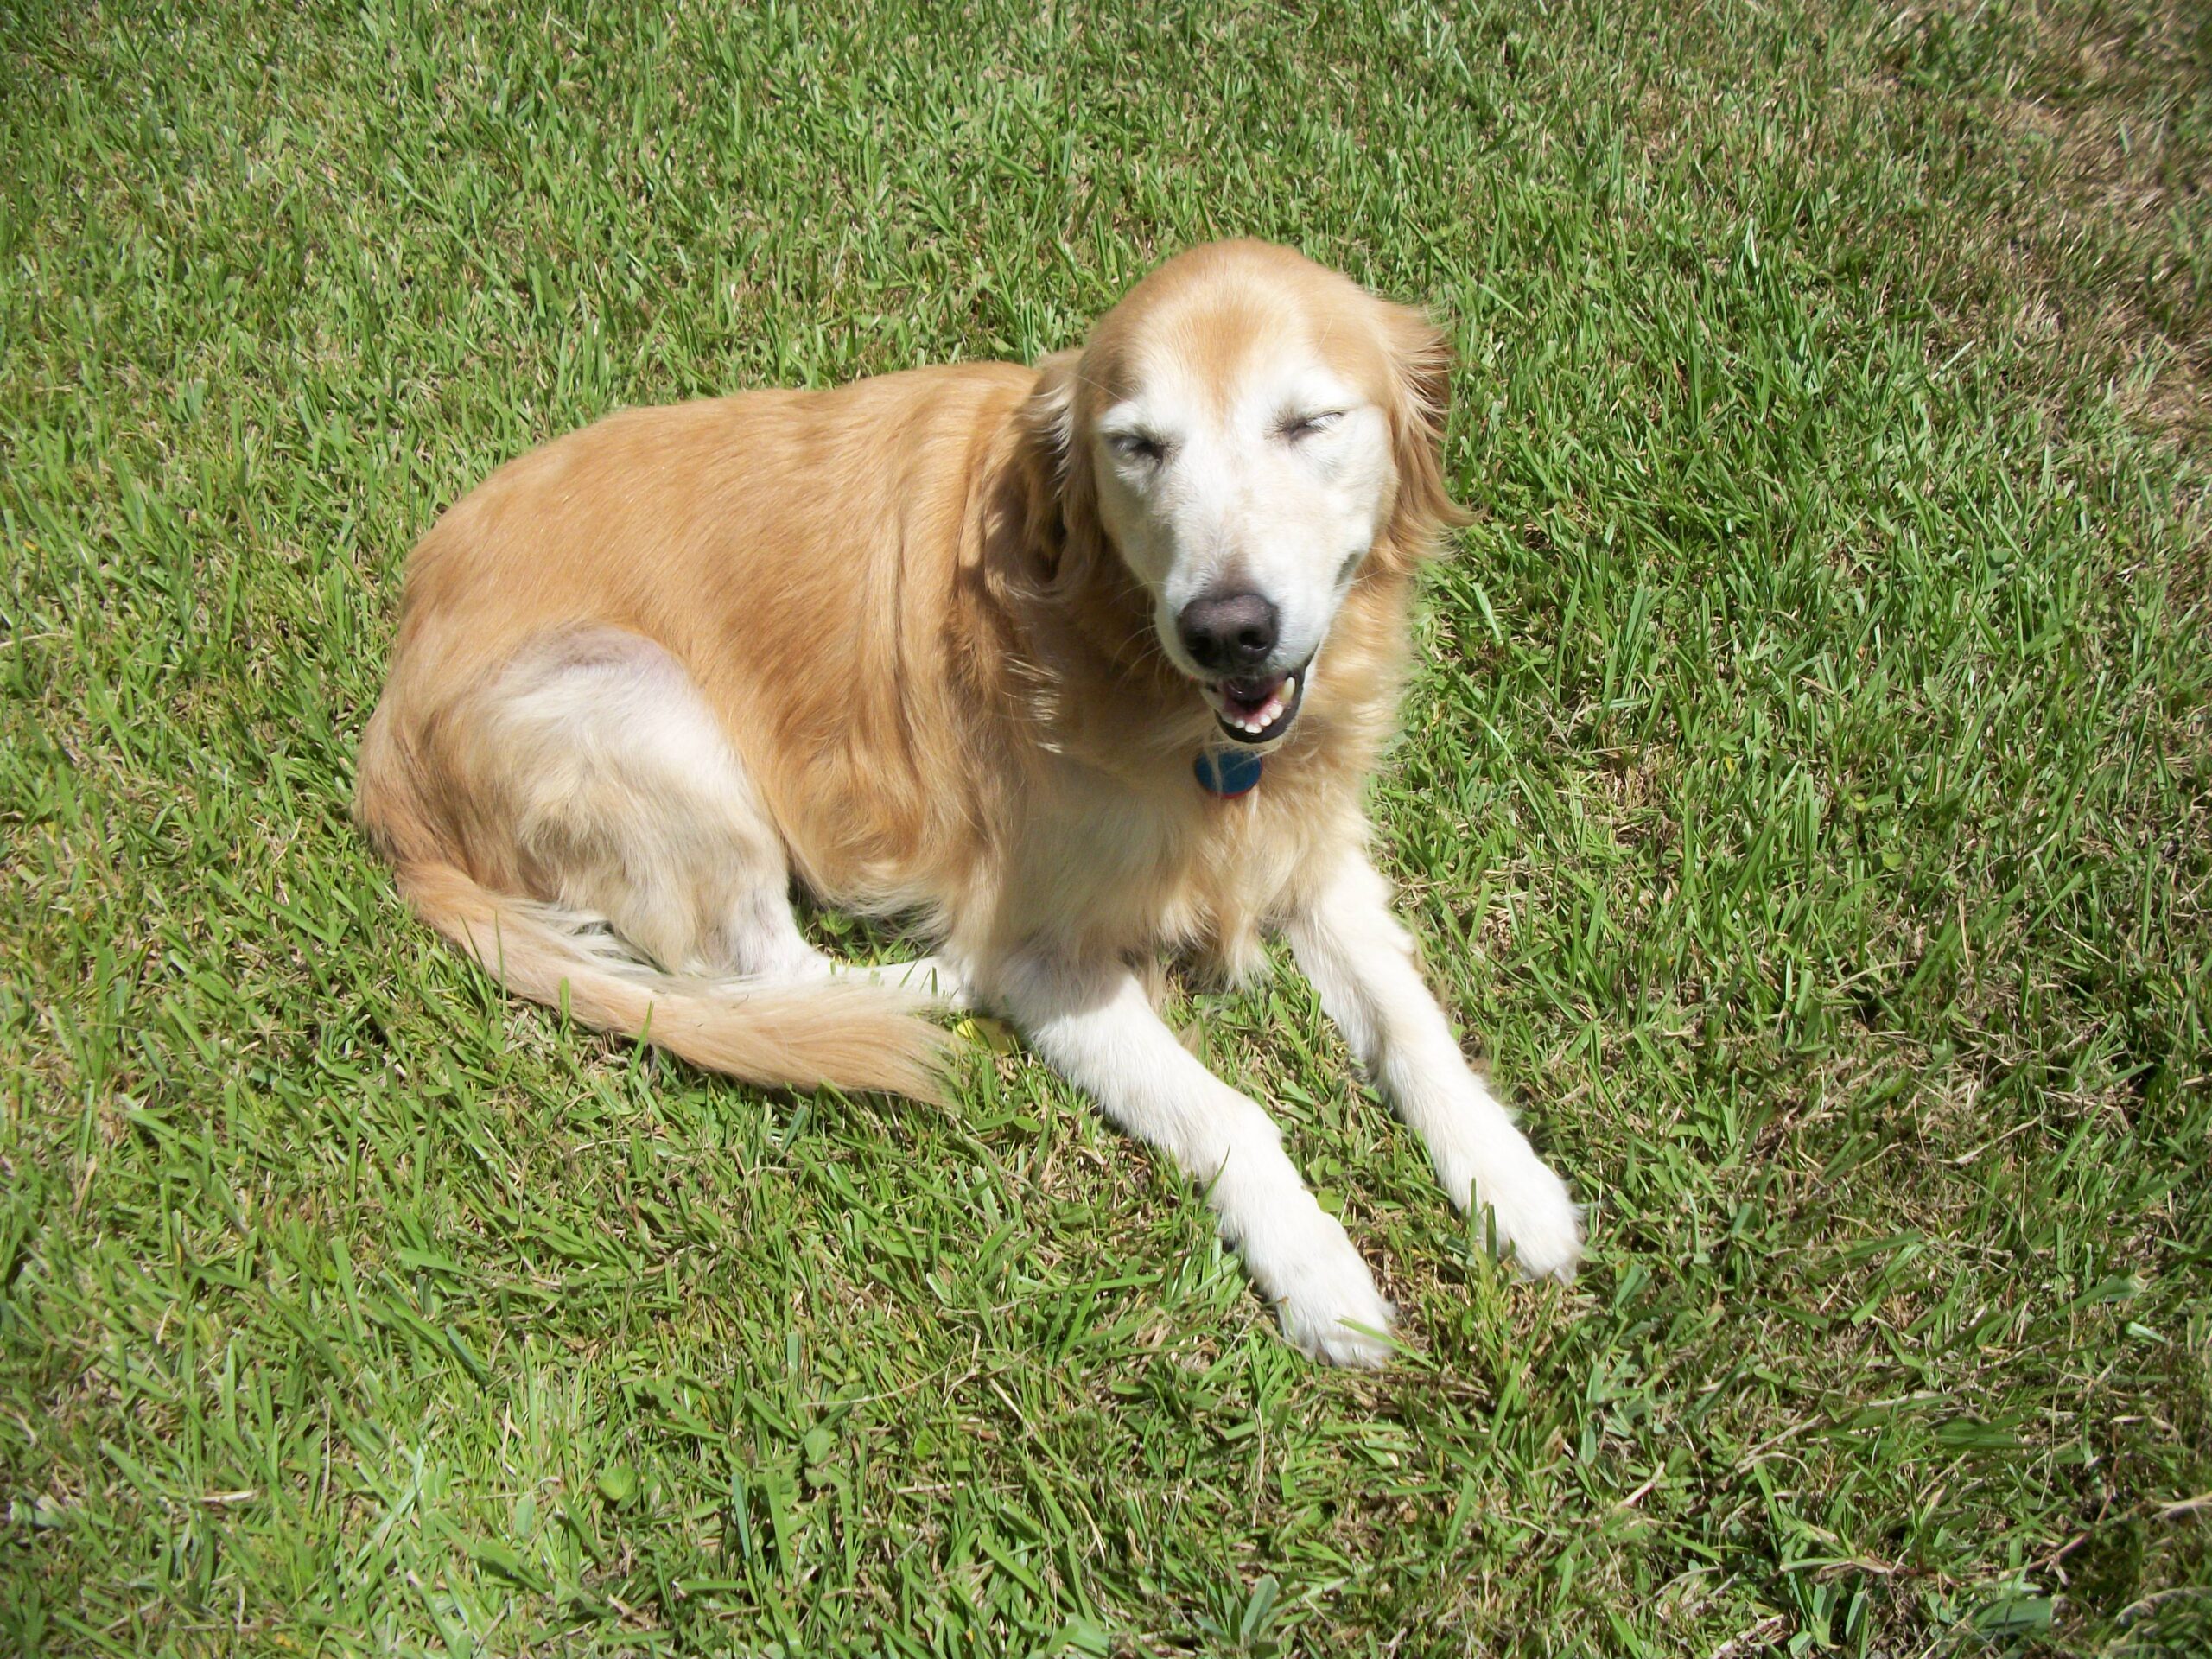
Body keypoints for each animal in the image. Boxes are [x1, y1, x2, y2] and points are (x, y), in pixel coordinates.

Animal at [355, 240, 1581, 1365]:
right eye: (1137, 445)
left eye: (1309, 423)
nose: (1226, 630)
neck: (1145, 682)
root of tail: (386, 734)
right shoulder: (1045, 954)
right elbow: (1228, 1109)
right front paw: (1317, 1267)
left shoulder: (1314, 856)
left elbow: (1411, 1021)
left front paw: (1508, 1180)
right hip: (642, 703)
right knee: (762, 970)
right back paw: (936, 987)